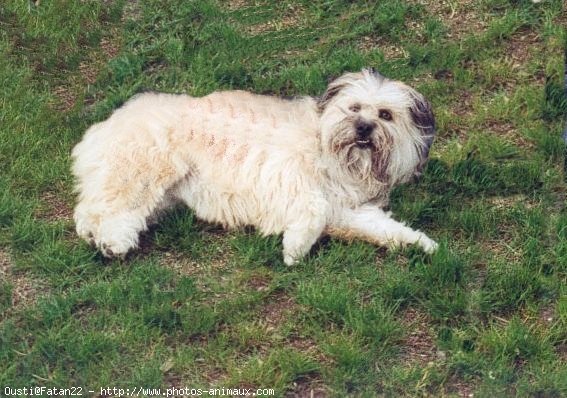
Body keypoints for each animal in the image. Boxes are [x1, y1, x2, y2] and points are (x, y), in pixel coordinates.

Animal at [72, 69, 440, 266]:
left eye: (386, 115)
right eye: (355, 107)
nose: (363, 128)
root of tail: (106, 124)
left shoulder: (349, 211)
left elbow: (386, 229)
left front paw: (424, 245)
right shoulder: (291, 177)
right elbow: (313, 208)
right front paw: (294, 249)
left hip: (153, 191)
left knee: (99, 212)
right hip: (142, 172)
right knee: (103, 212)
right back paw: (113, 244)